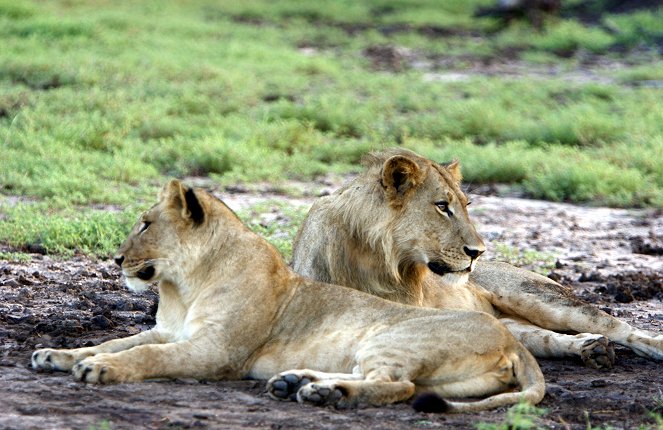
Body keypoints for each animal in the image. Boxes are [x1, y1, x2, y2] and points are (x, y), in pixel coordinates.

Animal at [31, 179, 544, 414]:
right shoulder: (167, 331)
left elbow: (146, 357)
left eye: (145, 224)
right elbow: (113, 341)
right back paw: (300, 382)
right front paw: (55, 354)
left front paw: (100, 369)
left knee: (397, 386)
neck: (182, 286)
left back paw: (323, 393)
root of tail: (512, 341)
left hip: (390, 337)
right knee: (404, 385)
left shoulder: (216, 351)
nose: (117, 259)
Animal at [294, 149, 663, 368]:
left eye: (466, 204)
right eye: (442, 206)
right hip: (509, 323)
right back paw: (591, 348)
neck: (382, 264)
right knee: (542, 339)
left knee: (619, 327)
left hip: (540, 297)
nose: (478, 252)